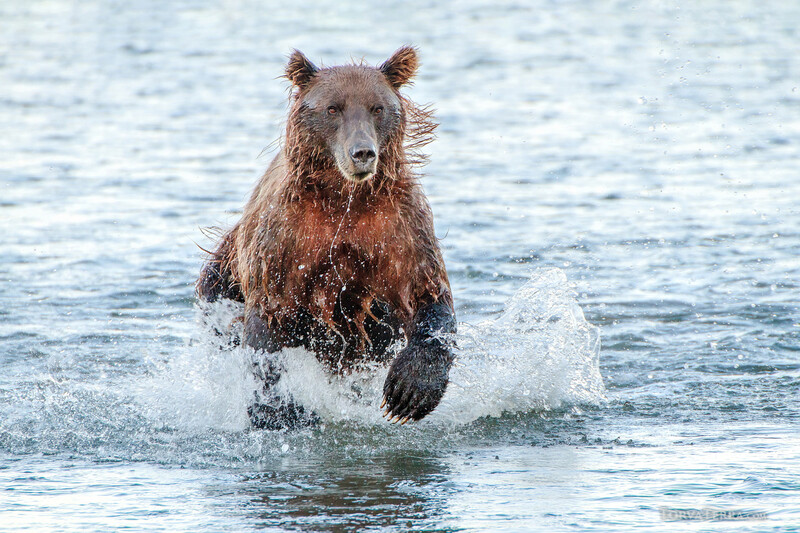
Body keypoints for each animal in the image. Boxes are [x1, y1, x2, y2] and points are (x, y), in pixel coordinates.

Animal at [197, 46, 456, 429]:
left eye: (377, 107)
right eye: (333, 108)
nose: (362, 152)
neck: (343, 197)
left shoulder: (399, 226)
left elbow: (428, 294)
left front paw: (408, 392)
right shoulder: (285, 236)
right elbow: (267, 328)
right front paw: (276, 410)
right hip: (221, 278)